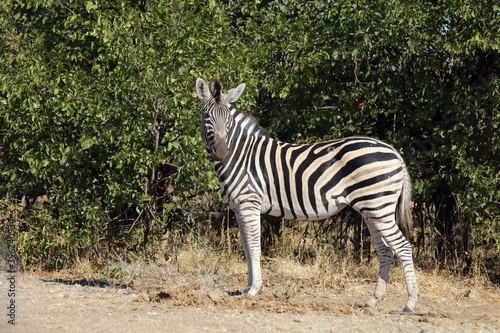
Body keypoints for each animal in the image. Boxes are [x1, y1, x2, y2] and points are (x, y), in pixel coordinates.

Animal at [194, 77, 418, 312]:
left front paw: (254, 289)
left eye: (228, 118)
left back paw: (410, 303)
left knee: (402, 247)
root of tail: (395, 152)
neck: (240, 156)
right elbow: (246, 247)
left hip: (378, 206)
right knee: (385, 250)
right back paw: (373, 300)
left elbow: (254, 246)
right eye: (206, 115)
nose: (221, 151)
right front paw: (247, 288)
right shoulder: (239, 208)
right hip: (371, 209)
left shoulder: (249, 203)